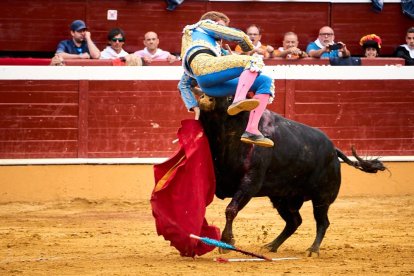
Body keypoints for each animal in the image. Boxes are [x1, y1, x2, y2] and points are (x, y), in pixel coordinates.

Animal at [197, 95, 384, 256]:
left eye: (230, 98)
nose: (206, 98)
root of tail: (333, 149)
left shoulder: (250, 182)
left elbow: (231, 209)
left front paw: (226, 242)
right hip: (283, 198)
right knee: (294, 221)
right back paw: (271, 245)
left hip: (322, 198)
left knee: (322, 222)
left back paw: (313, 250)